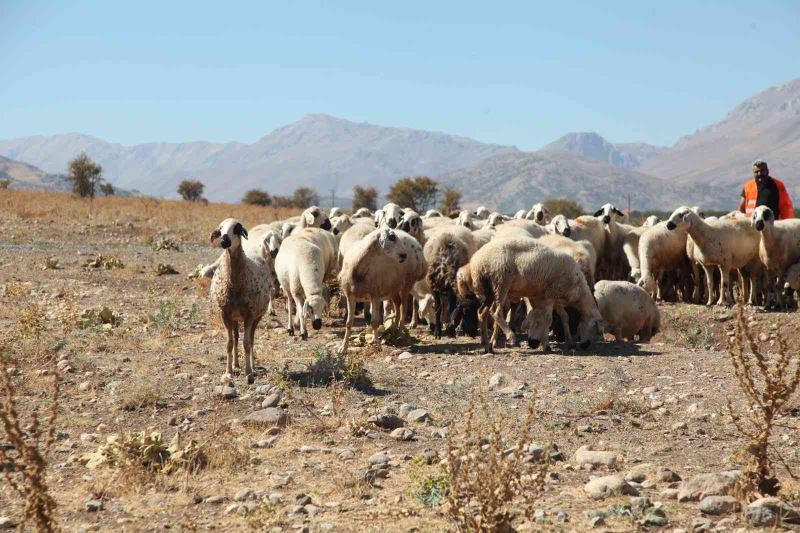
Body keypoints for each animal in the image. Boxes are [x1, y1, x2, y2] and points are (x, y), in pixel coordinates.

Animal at [209, 217, 272, 382]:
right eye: (220, 228)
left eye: (237, 229)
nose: (224, 240)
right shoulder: (225, 314)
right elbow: (229, 343)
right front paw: (228, 372)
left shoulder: (250, 314)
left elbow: (247, 344)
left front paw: (249, 372)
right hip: (235, 318)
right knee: (236, 338)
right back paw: (236, 365)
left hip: (257, 316)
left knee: (251, 338)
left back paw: (253, 367)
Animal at [336, 225, 424, 354]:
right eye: (392, 237)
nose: (404, 255)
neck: (359, 270)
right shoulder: (350, 296)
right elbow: (348, 323)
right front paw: (343, 347)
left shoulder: (375, 296)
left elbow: (374, 322)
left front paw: (377, 345)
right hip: (392, 288)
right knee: (397, 306)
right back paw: (394, 331)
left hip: (406, 285)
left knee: (403, 309)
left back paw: (400, 333)